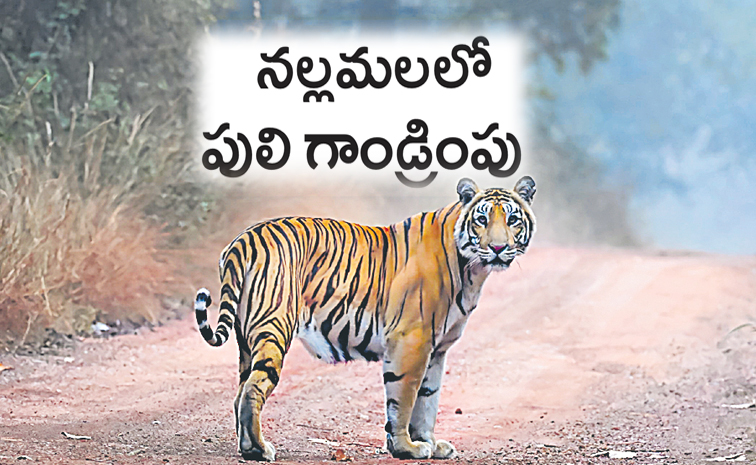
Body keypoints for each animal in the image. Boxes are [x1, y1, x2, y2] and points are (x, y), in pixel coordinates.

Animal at [194, 176, 536, 461]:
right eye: (481, 219)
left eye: (512, 220)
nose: (498, 248)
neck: (472, 270)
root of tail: (244, 239)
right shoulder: (412, 340)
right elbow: (405, 398)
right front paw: (407, 448)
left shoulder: (437, 349)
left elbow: (428, 399)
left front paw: (430, 443)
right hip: (274, 327)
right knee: (253, 389)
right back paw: (259, 450)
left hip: (246, 339)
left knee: (240, 393)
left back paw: (246, 447)